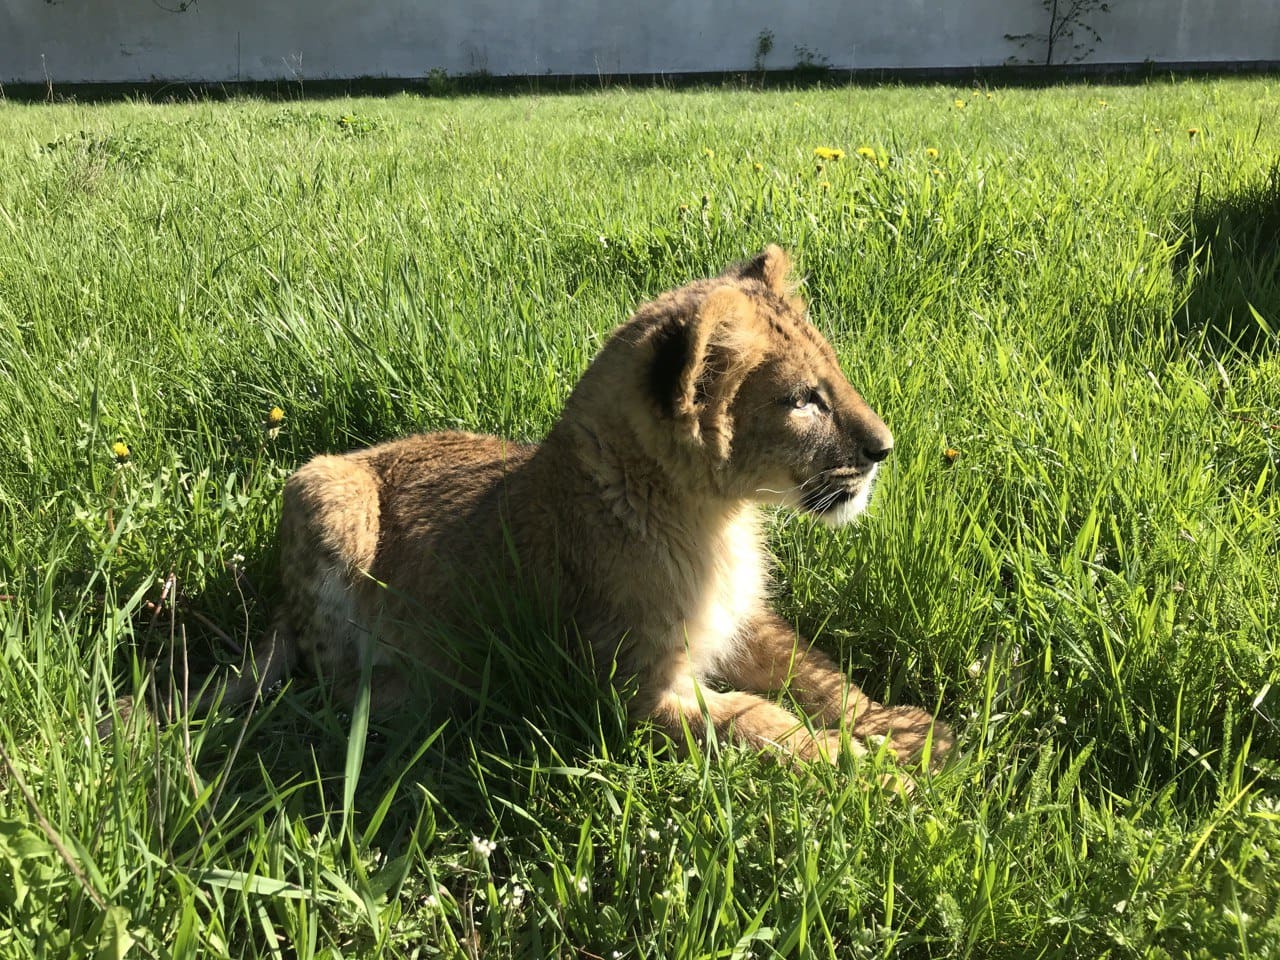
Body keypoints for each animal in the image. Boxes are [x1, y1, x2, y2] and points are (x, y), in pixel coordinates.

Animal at [247, 248, 952, 768]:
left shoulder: (744, 622)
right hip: (323, 489)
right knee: (335, 681)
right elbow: (762, 723)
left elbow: (819, 673)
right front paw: (873, 772)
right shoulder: (629, 692)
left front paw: (913, 735)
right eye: (804, 401)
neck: (717, 519)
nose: (885, 448)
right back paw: (441, 698)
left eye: (833, 375)